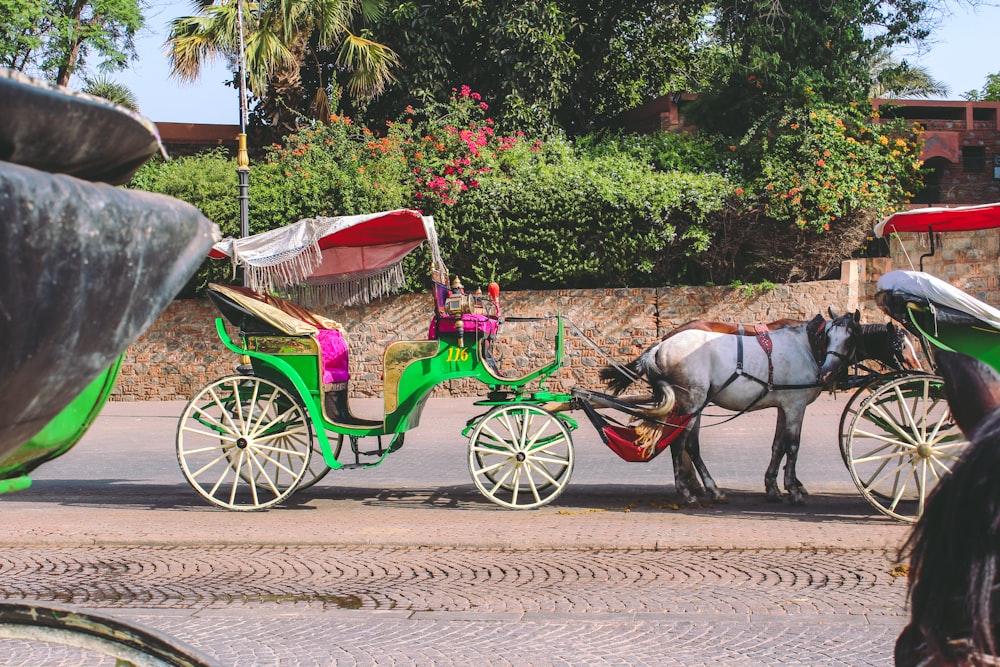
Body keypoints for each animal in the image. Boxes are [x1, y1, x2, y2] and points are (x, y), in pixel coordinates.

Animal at [600, 310, 860, 504]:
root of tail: (661, 346)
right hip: (691, 401)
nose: (828, 370)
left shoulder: (783, 405)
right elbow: (793, 446)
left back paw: (708, 488)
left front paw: (773, 487)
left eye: (850, 338)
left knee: (690, 444)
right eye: (830, 336)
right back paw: (688, 491)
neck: (806, 345)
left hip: (695, 403)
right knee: (679, 442)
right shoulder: (796, 405)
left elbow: (778, 445)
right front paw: (793, 489)